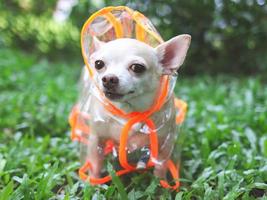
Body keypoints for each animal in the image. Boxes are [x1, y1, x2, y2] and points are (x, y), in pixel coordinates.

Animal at [78, 34, 192, 180]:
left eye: (137, 67)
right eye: (99, 64)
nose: (108, 78)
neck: (128, 111)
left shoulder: (165, 143)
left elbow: (160, 167)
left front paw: (160, 183)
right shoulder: (96, 140)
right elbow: (95, 164)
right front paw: (93, 181)